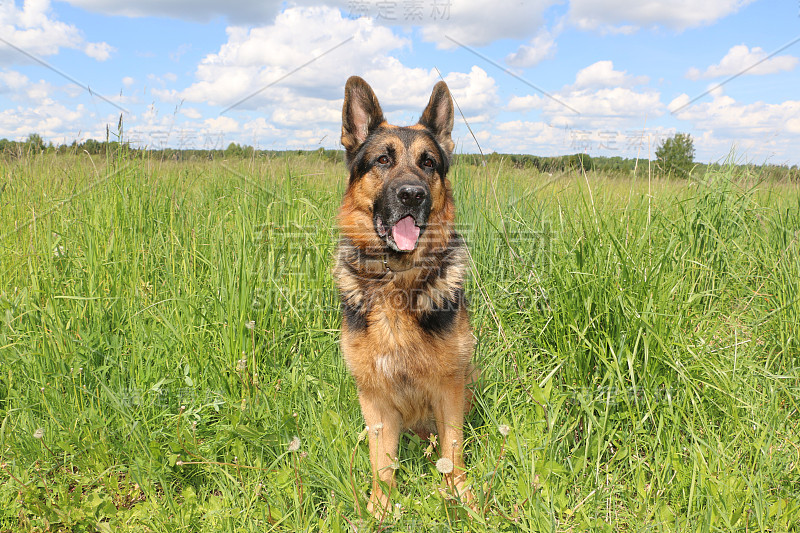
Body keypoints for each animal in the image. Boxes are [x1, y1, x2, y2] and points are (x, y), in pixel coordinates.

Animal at [336, 77, 478, 512]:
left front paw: (462, 497)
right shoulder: (374, 397)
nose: (412, 195)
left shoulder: (449, 388)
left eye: (428, 163)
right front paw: (380, 508)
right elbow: (380, 461)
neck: (397, 279)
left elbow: (453, 450)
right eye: (383, 159)